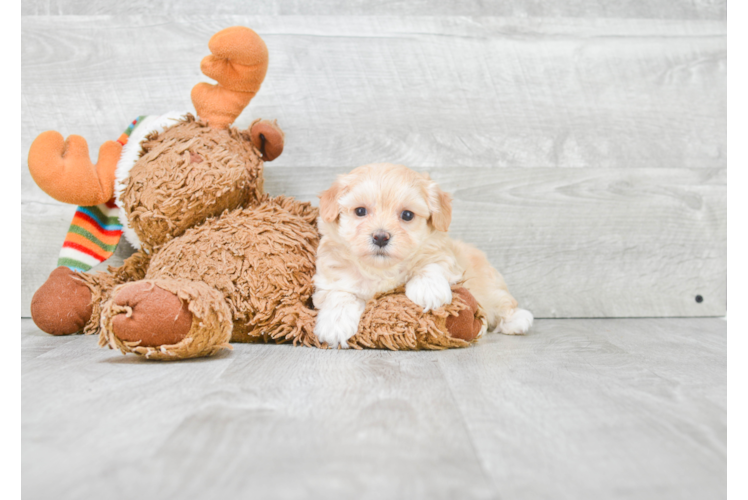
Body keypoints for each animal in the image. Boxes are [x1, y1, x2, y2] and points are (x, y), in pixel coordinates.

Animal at [312, 164, 536, 348]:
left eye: (407, 215)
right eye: (360, 211)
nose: (381, 237)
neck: (382, 269)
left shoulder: (446, 256)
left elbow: (432, 262)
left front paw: (428, 290)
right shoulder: (330, 275)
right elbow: (339, 293)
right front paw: (335, 323)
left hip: (488, 285)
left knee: (500, 301)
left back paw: (517, 320)